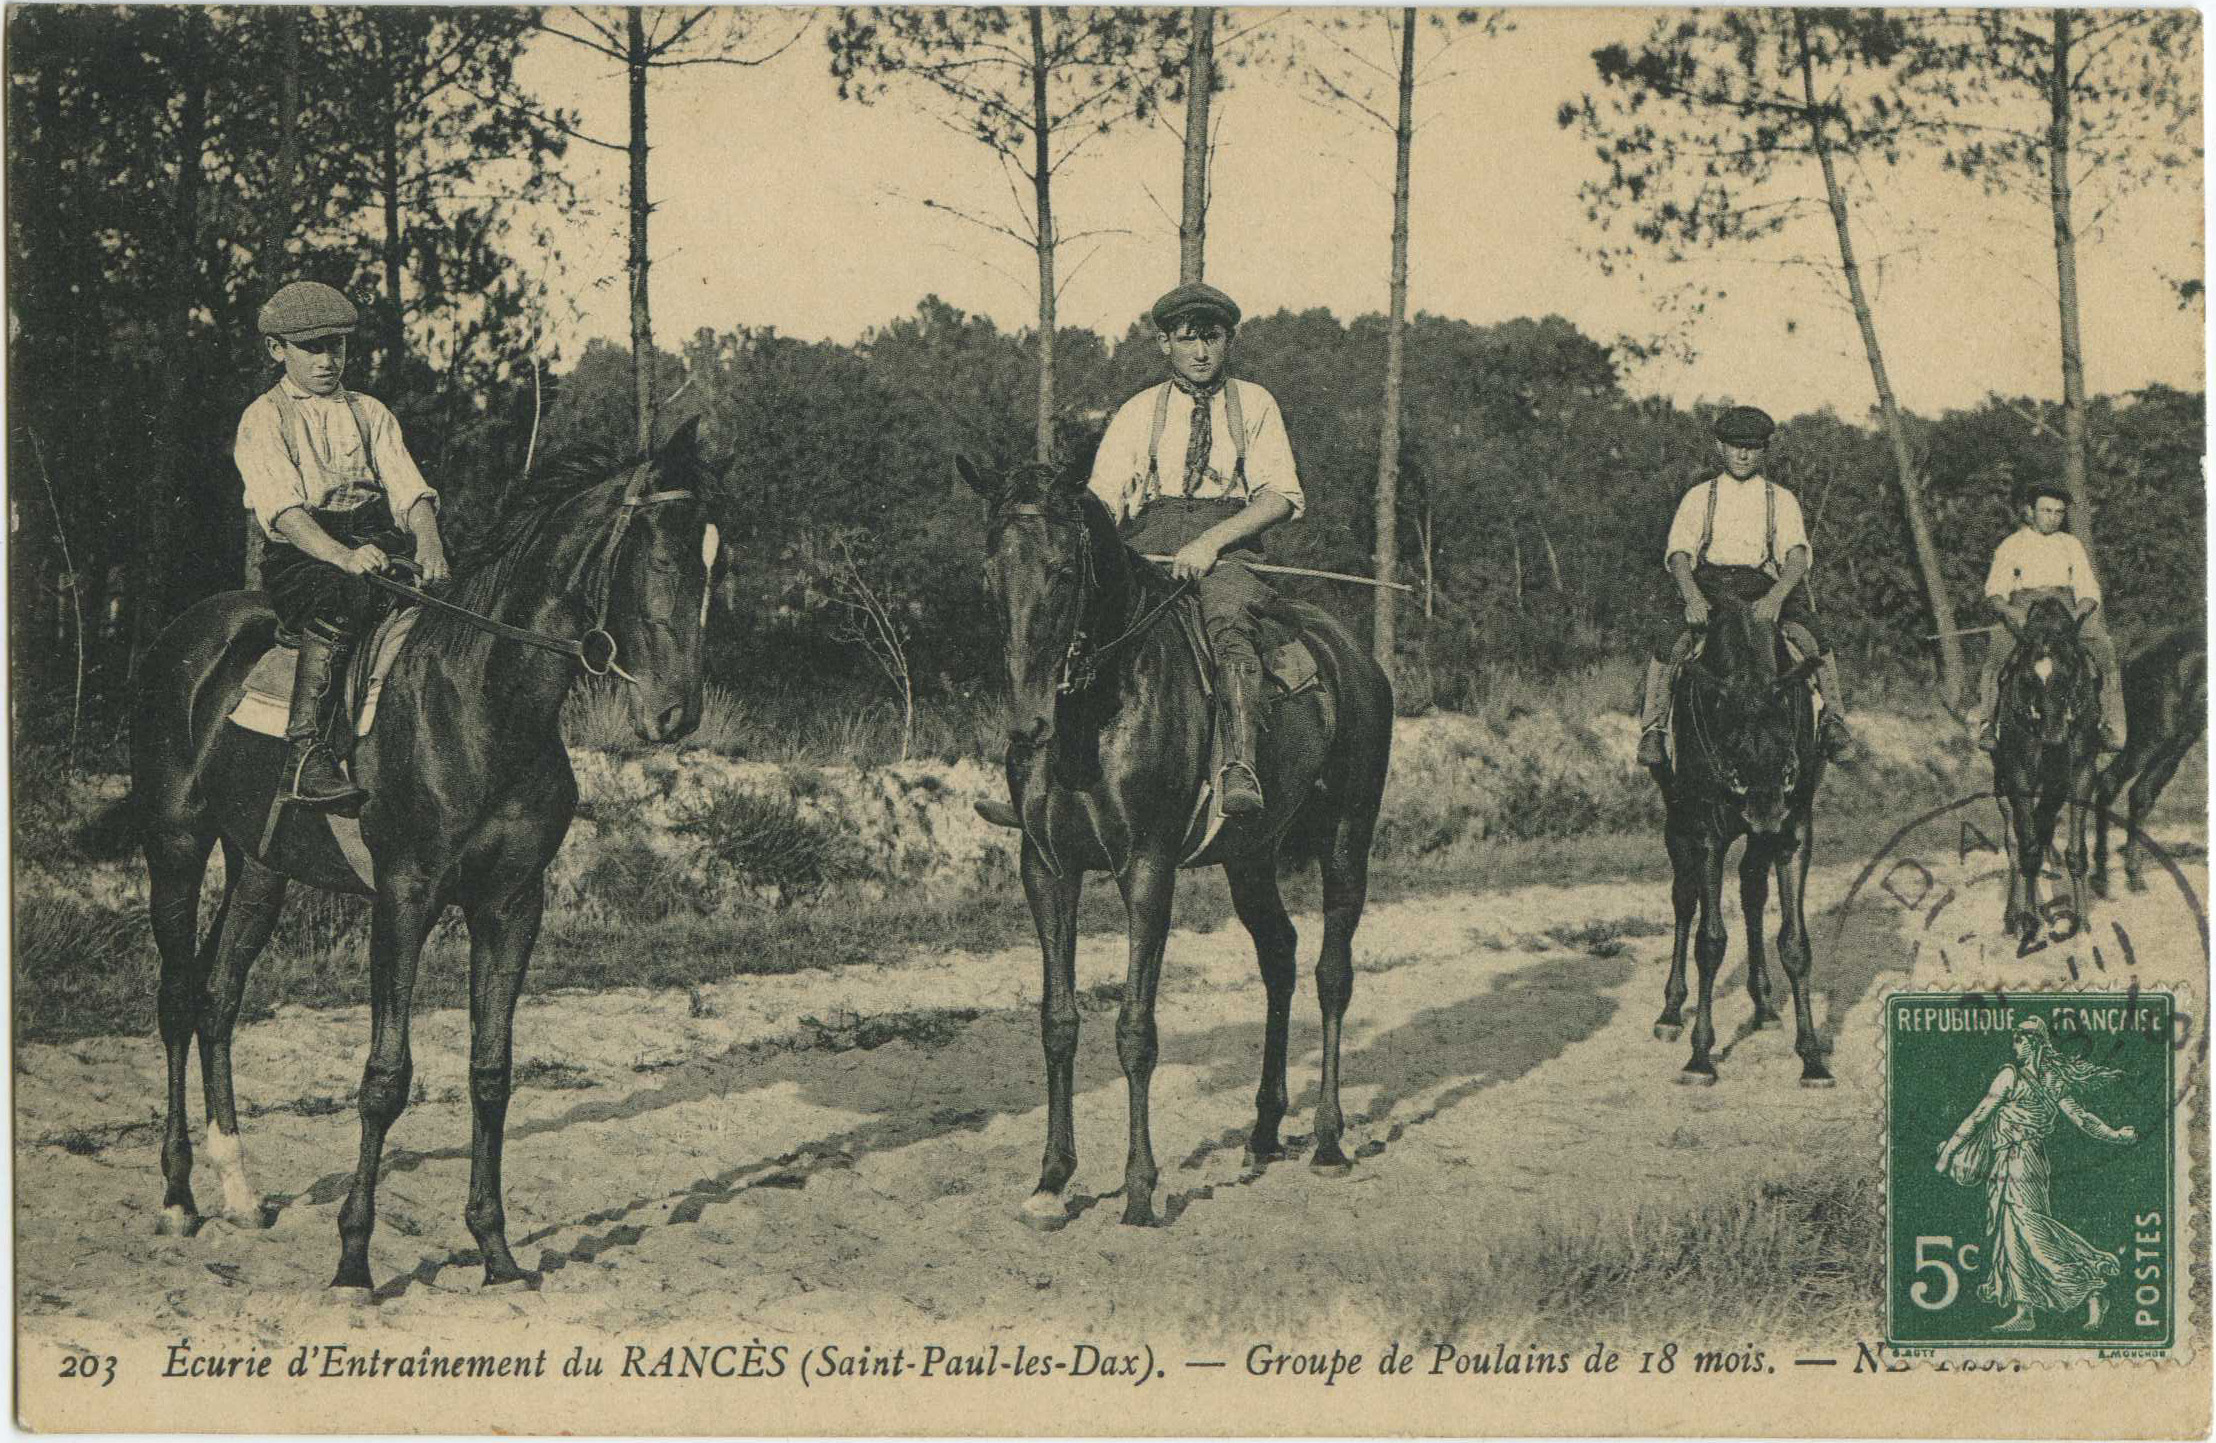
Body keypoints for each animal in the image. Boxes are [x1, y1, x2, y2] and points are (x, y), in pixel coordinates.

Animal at [134, 423, 717, 1294]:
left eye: (713, 557)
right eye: (660, 554)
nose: (675, 713)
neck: (483, 698)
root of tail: (185, 638)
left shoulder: (511, 903)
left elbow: (491, 1070)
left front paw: (496, 1252)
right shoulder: (404, 898)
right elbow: (385, 1078)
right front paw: (353, 1260)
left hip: (259, 869)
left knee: (217, 1000)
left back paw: (237, 1189)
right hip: (175, 845)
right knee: (176, 1001)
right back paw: (177, 1197)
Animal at [961, 456, 1391, 1223]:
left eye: (1064, 571)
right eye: (990, 573)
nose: (1027, 724)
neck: (1098, 707)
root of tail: (1356, 659)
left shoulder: (1147, 868)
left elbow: (1136, 1028)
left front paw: (1139, 1188)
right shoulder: (1046, 867)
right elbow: (1058, 1020)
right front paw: (1051, 1178)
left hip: (1348, 837)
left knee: (1332, 974)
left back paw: (1328, 1140)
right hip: (1251, 856)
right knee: (1280, 958)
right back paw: (1263, 1131)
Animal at [1657, 594, 1825, 1081]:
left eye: (1786, 730)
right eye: (1728, 736)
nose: (1764, 808)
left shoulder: (1794, 831)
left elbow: (1795, 943)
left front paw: (1812, 1056)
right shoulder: (1708, 834)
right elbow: (1709, 942)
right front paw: (1700, 1056)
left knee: (1752, 892)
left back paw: (1764, 1005)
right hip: (1679, 826)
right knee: (1684, 900)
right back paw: (1670, 1011)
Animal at [2003, 594, 2100, 944]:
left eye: (2068, 673)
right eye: (2028, 679)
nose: (2053, 735)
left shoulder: (2083, 774)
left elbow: (2076, 852)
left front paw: (2082, 923)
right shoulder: (2019, 776)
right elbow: (2027, 850)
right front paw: (2028, 921)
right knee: (2015, 842)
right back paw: (2014, 917)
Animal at [2091, 633, 2198, 904]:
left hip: (2178, 734)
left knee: (2136, 791)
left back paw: (2118, 877)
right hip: (2159, 734)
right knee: (2122, 786)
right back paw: (2116, 878)